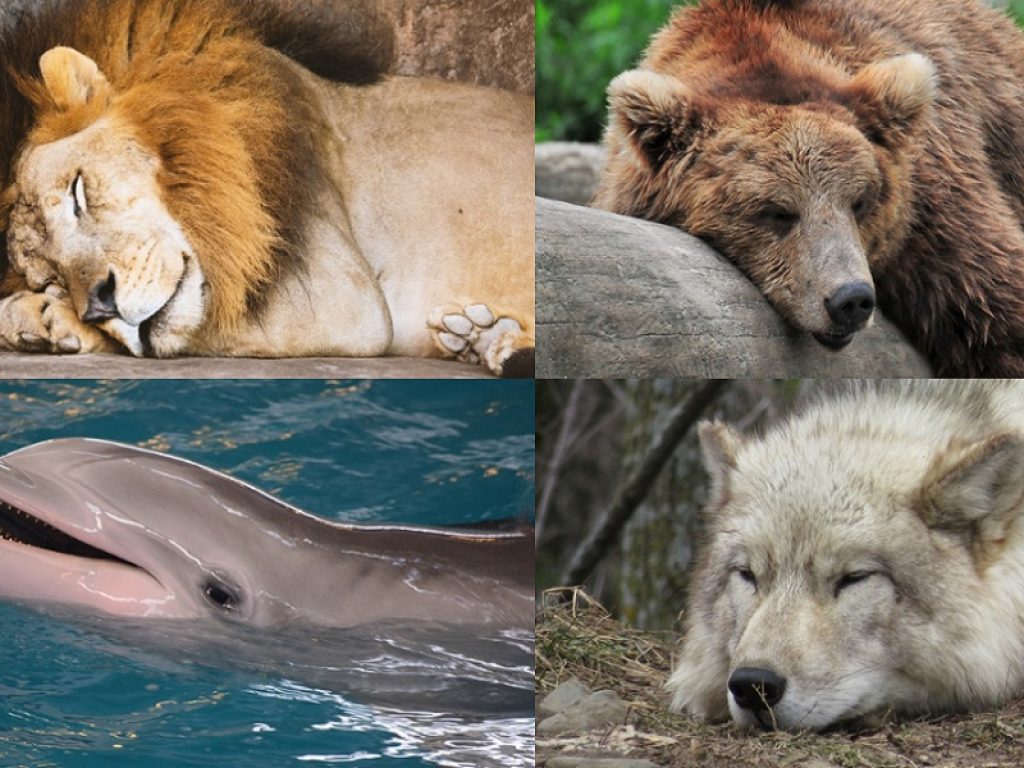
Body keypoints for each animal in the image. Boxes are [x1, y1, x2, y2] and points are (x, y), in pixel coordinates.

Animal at [0, 0, 535, 376]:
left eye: (78, 193)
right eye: (49, 276)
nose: (99, 305)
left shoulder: (342, 296)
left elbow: (204, 322)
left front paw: (40, 316)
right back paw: (483, 337)